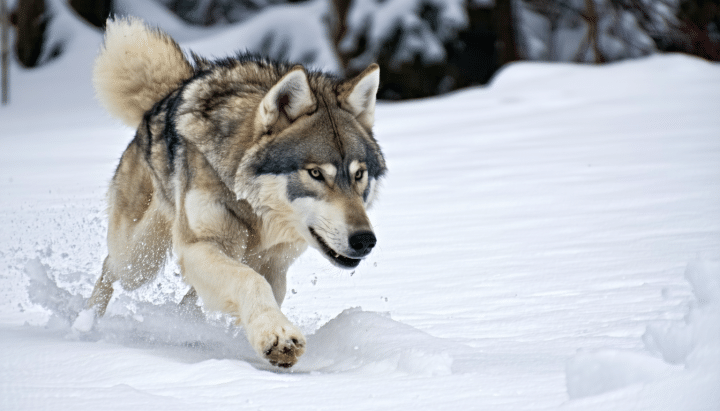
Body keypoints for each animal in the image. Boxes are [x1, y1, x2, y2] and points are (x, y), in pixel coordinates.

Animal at [75, 17, 386, 368]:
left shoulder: (274, 267)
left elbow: (251, 288)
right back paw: (84, 326)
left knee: (187, 299)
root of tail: (168, 95)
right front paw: (277, 335)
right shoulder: (199, 246)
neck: (257, 212)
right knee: (110, 267)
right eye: (316, 173)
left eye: (358, 175)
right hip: (139, 260)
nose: (365, 240)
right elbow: (248, 281)